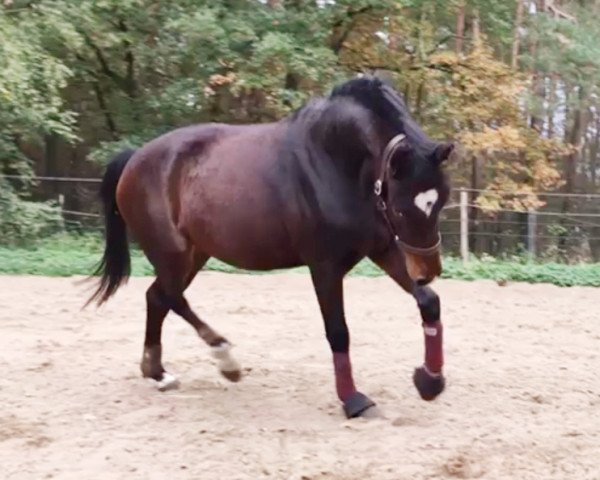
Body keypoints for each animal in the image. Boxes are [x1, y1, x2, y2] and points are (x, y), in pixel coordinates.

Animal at [86, 77, 452, 418]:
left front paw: (430, 381)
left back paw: (159, 373)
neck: (336, 162)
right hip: (172, 253)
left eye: (441, 201)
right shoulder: (324, 265)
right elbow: (338, 332)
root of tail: (134, 158)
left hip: (194, 254)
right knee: (170, 297)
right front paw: (354, 400)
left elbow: (429, 302)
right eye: (402, 208)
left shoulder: (383, 248)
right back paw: (225, 359)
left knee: (158, 298)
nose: (428, 270)